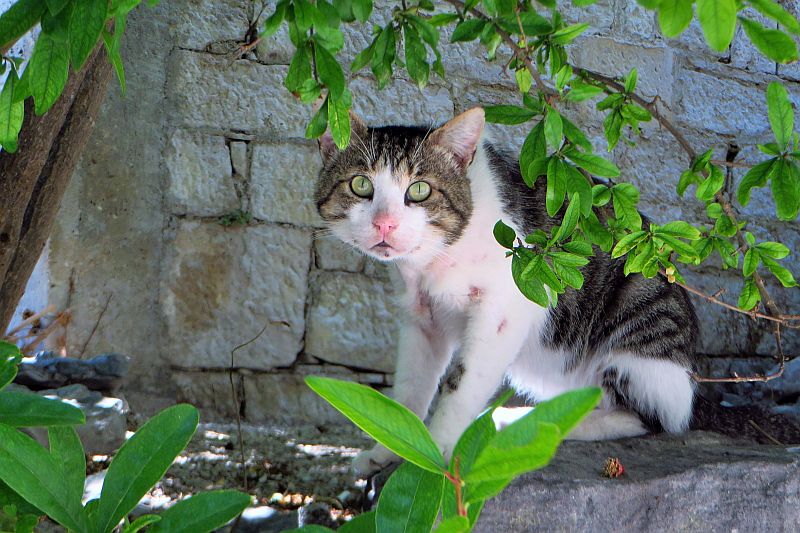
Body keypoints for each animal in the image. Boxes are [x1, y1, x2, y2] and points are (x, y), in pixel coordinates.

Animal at [316, 108, 696, 474]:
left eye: (419, 190)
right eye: (361, 185)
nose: (385, 223)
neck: (432, 260)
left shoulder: (503, 309)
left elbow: (461, 383)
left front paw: (437, 459)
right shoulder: (421, 319)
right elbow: (409, 390)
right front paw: (392, 448)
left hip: (637, 349)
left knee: (647, 417)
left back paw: (534, 425)